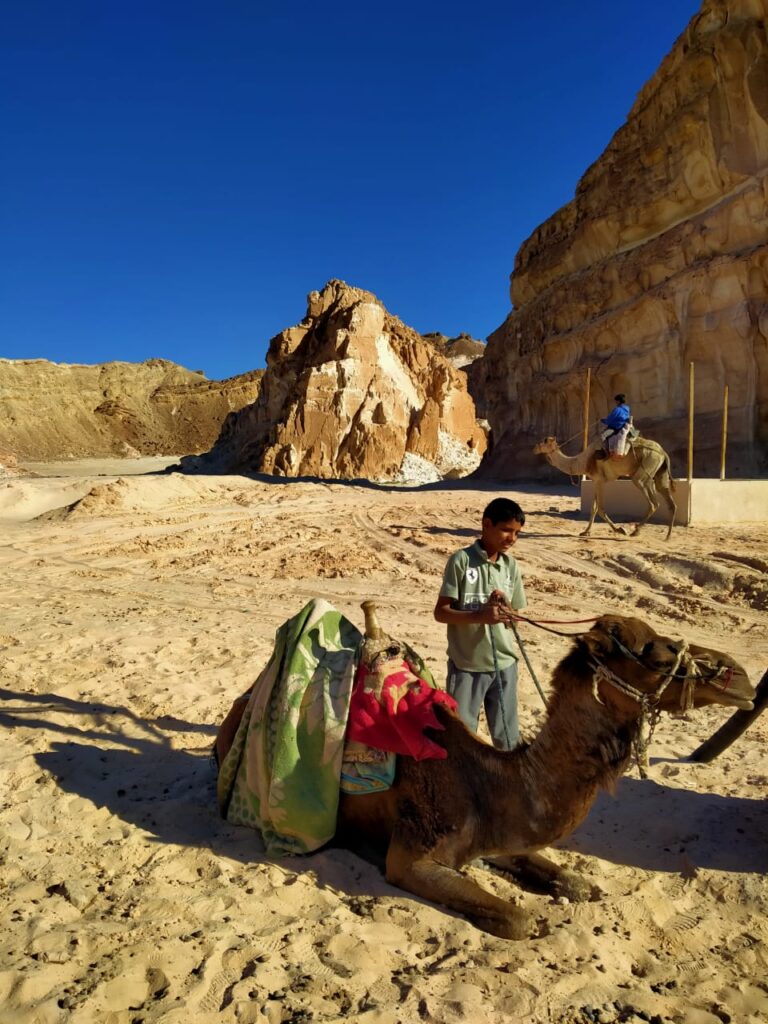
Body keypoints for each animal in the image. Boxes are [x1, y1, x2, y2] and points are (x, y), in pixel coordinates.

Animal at [536, 434, 679, 540]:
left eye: (542, 442)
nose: (534, 448)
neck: (583, 461)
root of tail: (663, 453)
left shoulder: (600, 480)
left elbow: (600, 509)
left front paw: (620, 530)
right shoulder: (595, 480)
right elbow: (593, 508)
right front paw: (585, 532)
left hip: (644, 471)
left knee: (653, 502)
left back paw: (636, 531)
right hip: (659, 473)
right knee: (669, 501)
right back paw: (668, 536)